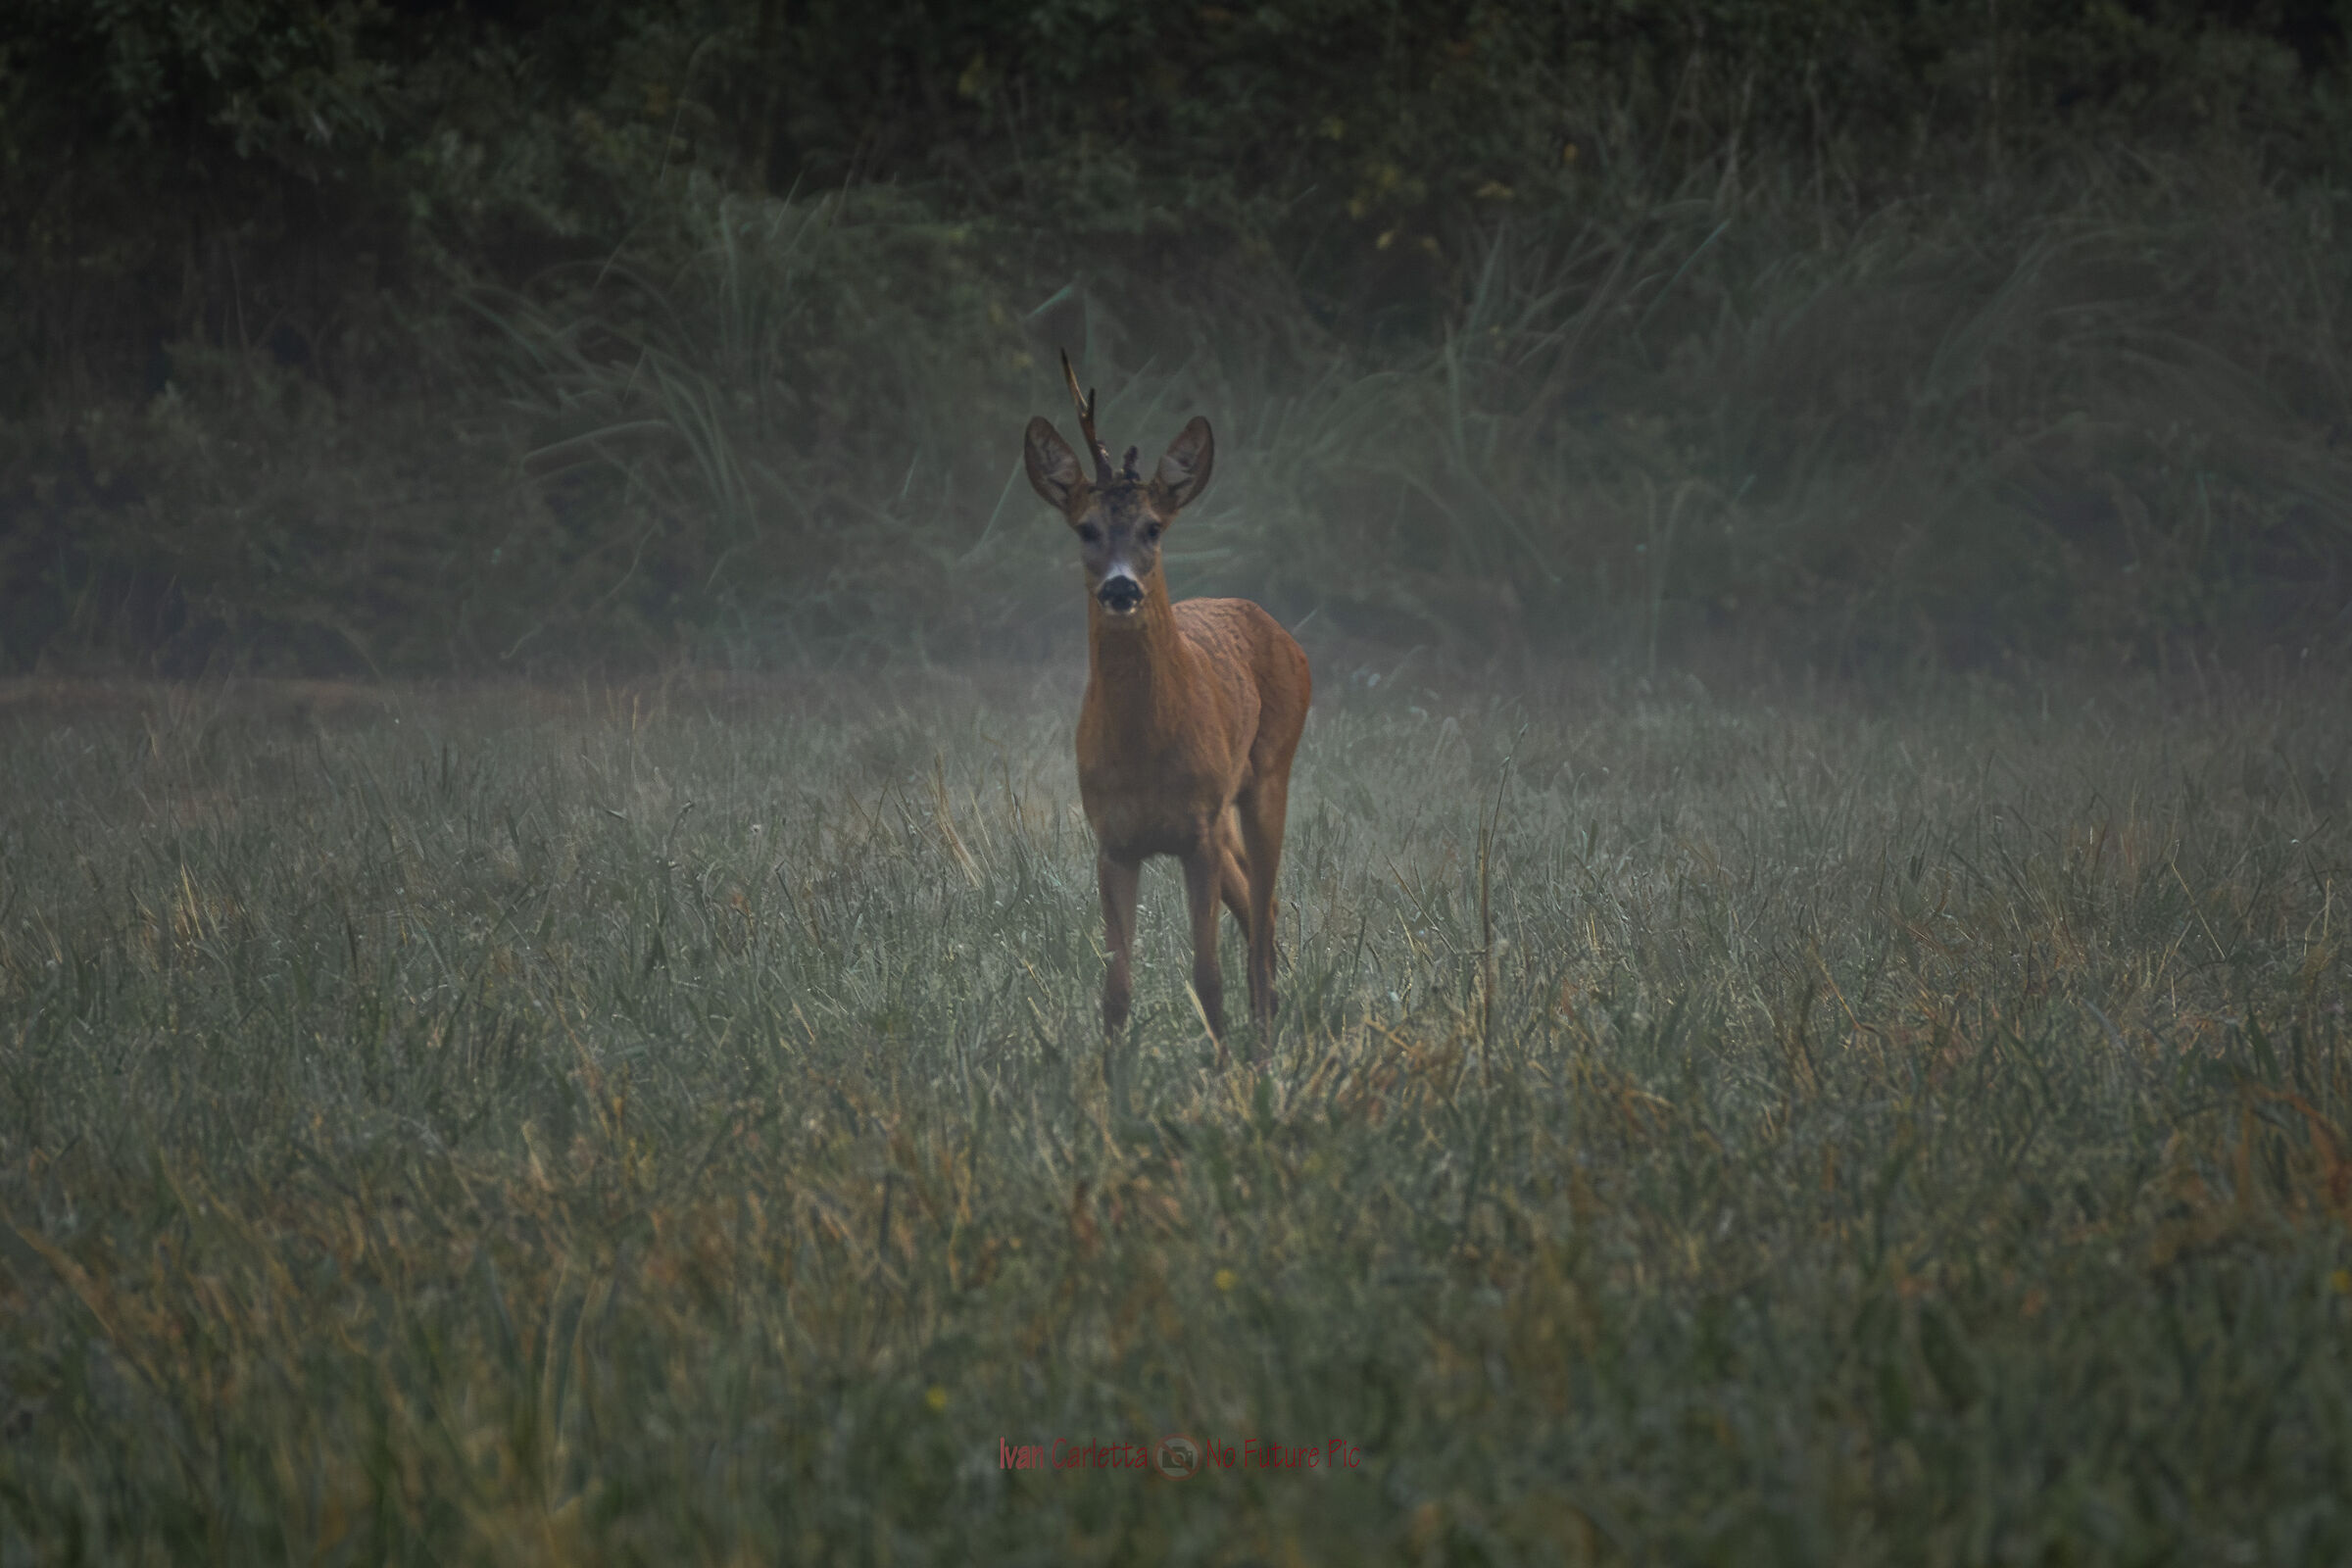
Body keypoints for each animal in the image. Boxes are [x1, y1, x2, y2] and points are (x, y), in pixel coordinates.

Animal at [1024, 353, 1311, 1067]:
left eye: (1152, 528)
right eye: (1086, 528)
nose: (1122, 588)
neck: (1143, 749)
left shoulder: (1196, 833)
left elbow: (1206, 974)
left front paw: (1224, 1067)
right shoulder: (1113, 840)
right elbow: (1116, 986)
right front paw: (1107, 1075)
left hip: (1267, 777)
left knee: (1265, 912)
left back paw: (1264, 1041)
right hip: (1226, 810)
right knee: (1256, 908)